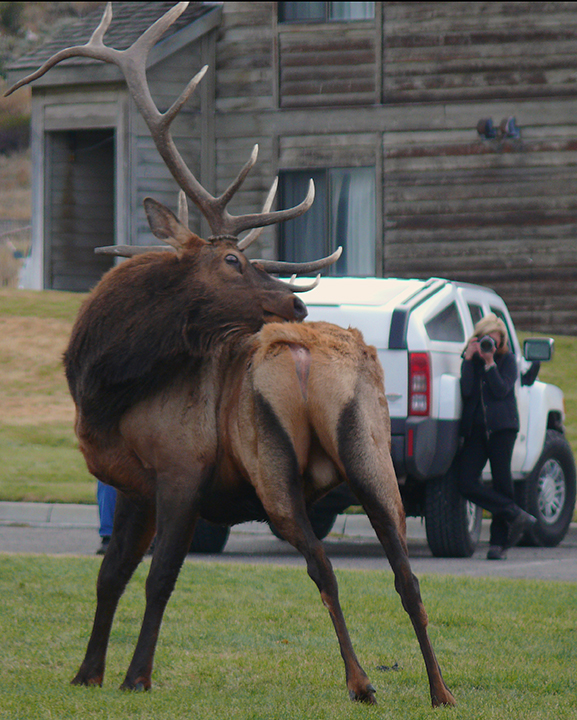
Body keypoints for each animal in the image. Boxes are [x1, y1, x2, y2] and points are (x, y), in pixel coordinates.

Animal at [5, 1, 454, 708]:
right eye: (233, 261)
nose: (294, 303)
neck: (102, 387)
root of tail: (312, 360)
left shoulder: (181, 465)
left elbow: (159, 577)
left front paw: (135, 676)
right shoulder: (134, 482)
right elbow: (110, 574)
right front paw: (86, 671)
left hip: (272, 469)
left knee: (322, 564)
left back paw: (360, 682)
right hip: (372, 453)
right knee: (406, 574)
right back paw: (440, 691)